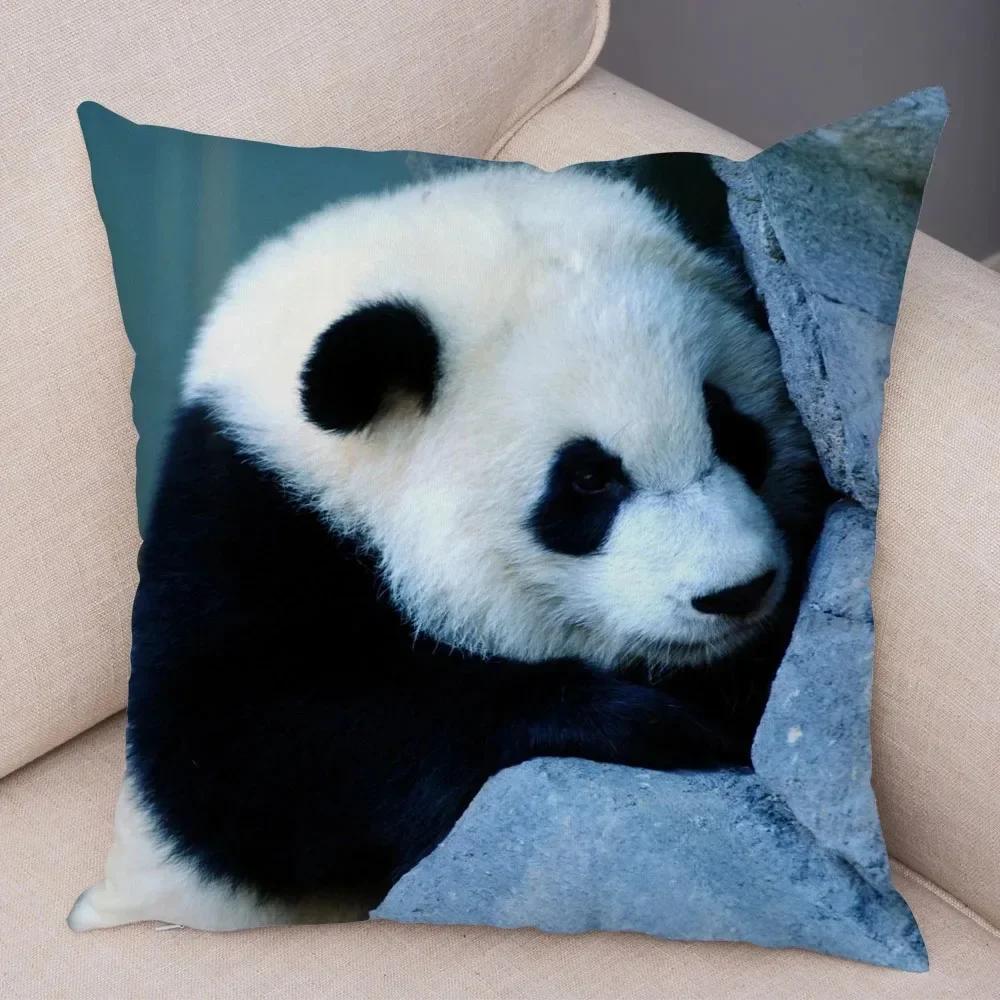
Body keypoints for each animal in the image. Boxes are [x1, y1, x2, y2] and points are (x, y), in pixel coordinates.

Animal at [69, 162, 828, 932]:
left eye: (729, 426)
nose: (736, 591)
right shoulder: (244, 523)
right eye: (588, 480)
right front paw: (648, 722)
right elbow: (249, 756)